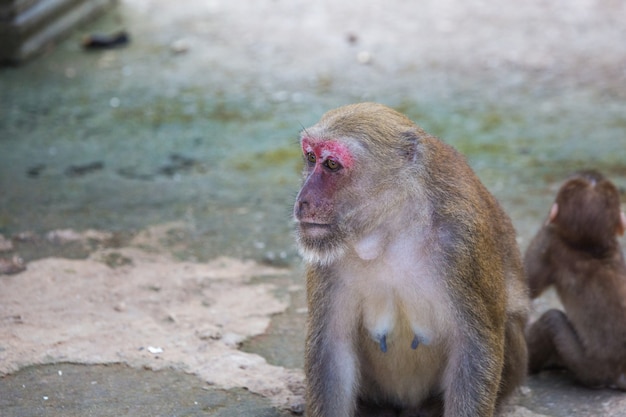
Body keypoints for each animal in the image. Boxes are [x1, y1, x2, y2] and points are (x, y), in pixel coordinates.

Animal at [292, 103, 528, 416]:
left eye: (331, 165)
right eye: (310, 157)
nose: (302, 200)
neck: (391, 229)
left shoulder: (462, 243)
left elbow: (473, 350)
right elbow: (331, 350)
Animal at [520, 170, 624, 390]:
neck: (591, 247)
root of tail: (620, 373)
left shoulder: (550, 241)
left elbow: (527, 287)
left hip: (592, 369)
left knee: (552, 320)